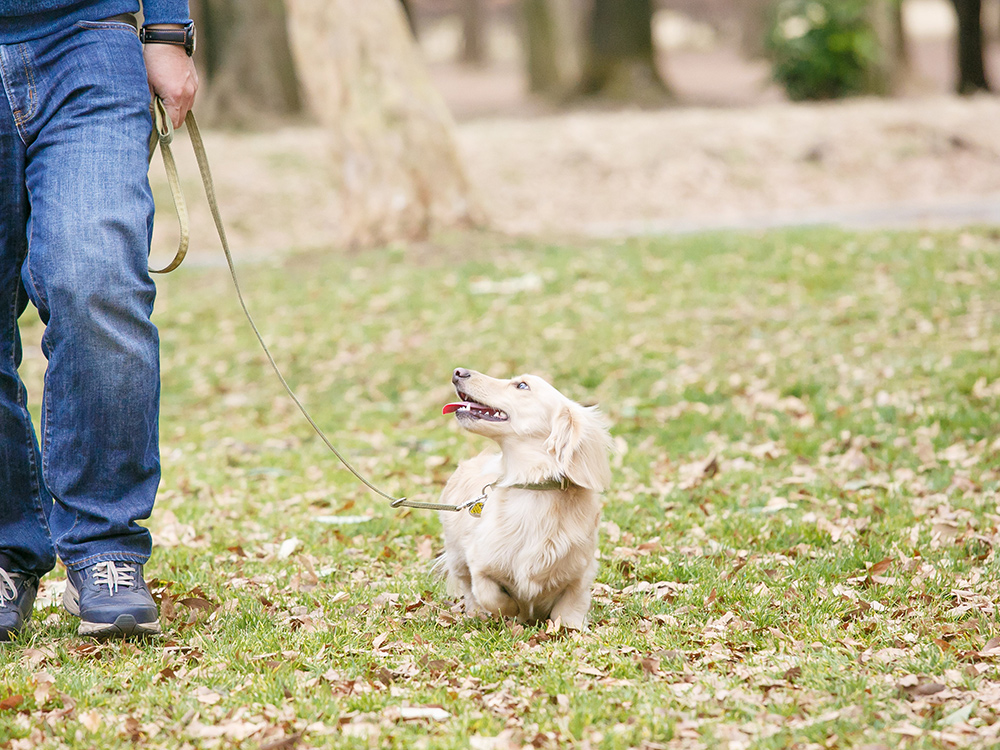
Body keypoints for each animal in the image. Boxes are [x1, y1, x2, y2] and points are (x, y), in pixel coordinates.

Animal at [440, 368, 612, 632]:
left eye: (522, 385)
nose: (459, 371)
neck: (533, 488)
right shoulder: (478, 562)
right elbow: (490, 594)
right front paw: (514, 611)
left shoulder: (580, 574)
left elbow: (570, 608)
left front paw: (571, 628)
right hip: (456, 556)